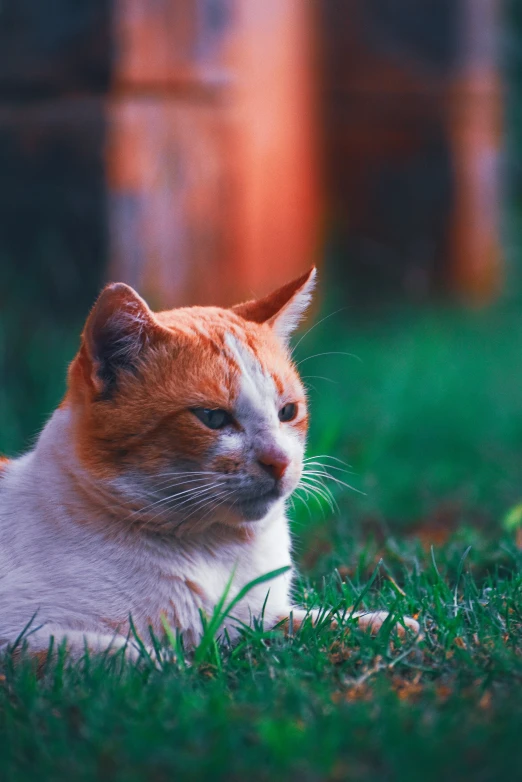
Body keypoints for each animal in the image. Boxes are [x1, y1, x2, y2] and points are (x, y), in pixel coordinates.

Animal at [0, 270, 416, 660]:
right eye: (212, 418)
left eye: (287, 412)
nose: (279, 461)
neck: (211, 548)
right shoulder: (20, 635)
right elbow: (137, 658)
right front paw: (175, 665)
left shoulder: (254, 620)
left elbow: (319, 620)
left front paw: (389, 625)